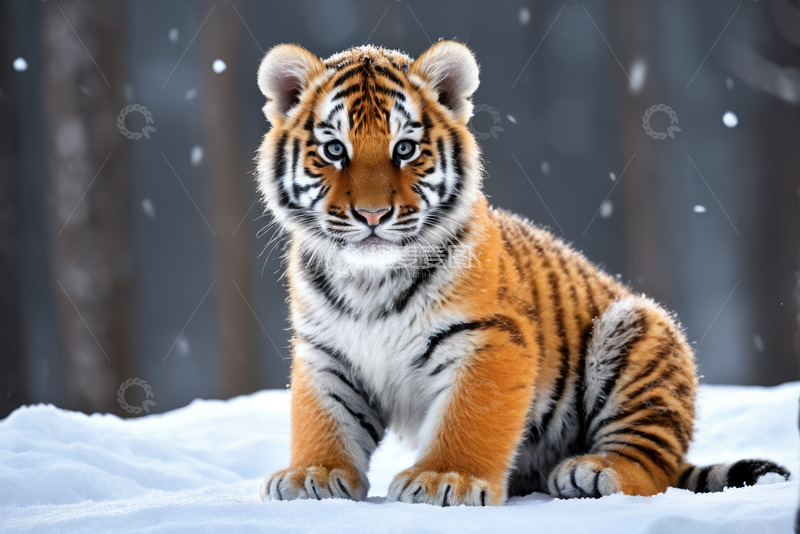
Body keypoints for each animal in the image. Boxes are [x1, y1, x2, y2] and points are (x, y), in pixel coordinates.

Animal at [254, 40, 790, 506]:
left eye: (405, 149)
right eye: (334, 151)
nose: (371, 215)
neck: (369, 280)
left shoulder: (489, 337)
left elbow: (467, 417)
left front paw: (444, 479)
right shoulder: (325, 351)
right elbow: (325, 417)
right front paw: (313, 474)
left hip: (638, 335)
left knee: (652, 464)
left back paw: (593, 472)